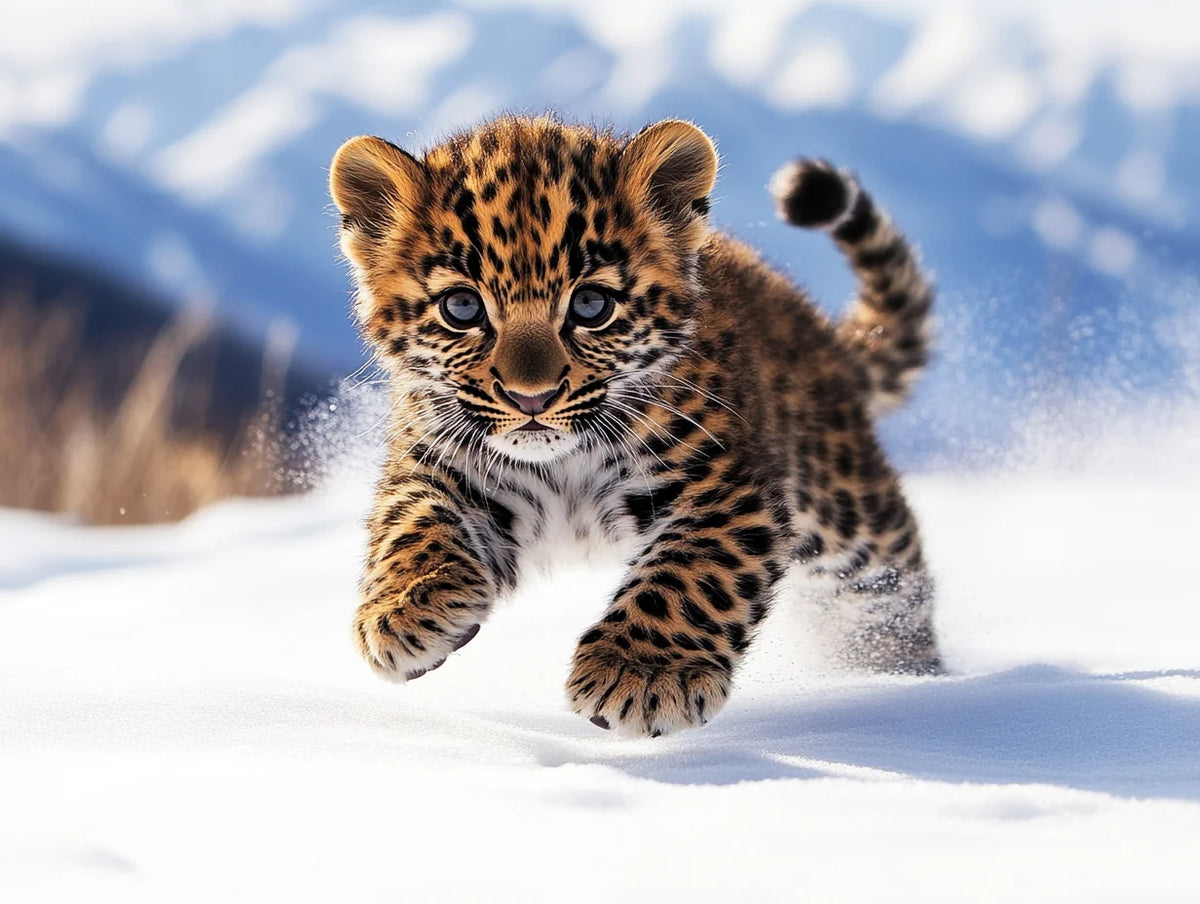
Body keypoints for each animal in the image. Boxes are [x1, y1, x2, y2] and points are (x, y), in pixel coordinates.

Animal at [329, 114, 941, 738]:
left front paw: (642, 672)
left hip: (846, 511)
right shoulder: (441, 461)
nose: (532, 397)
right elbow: (413, 522)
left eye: (591, 305)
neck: (562, 463)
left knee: (892, 590)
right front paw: (401, 609)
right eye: (462, 308)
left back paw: (912, 680)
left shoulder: (725, 487)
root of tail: (817, 326)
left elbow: (692, 572)